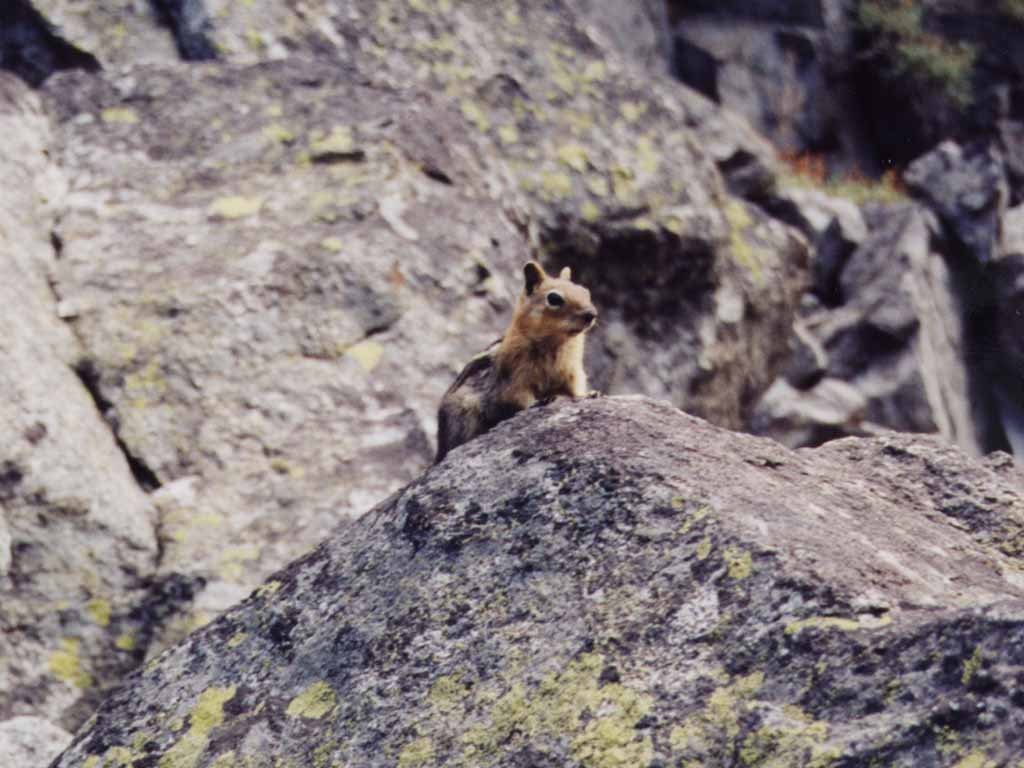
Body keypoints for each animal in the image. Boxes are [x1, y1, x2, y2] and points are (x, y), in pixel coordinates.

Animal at [434, 264, 598, 462]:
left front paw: (589, 394)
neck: (556, 343)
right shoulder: (515, 378)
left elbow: (575, 389)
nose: (591, 314)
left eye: (585, 291)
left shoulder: (573, 372)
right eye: (554, 298)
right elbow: (518, 397)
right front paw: (539, 401)